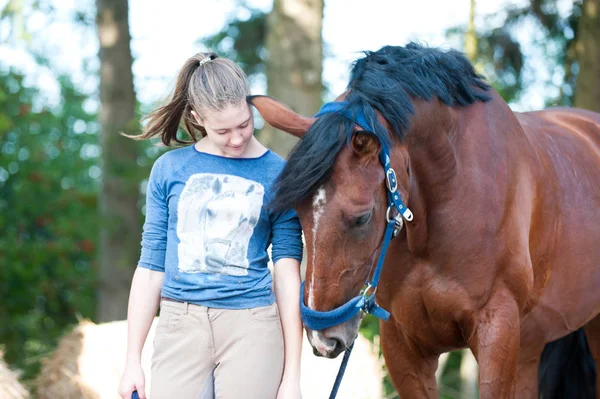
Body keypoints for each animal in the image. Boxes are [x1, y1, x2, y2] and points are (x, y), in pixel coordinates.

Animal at [250, 42, 600, 398]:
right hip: (530, 346)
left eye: (362, 218)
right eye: (298, 212)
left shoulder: (497, 331)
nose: (324, 339)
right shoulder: (402, 343)